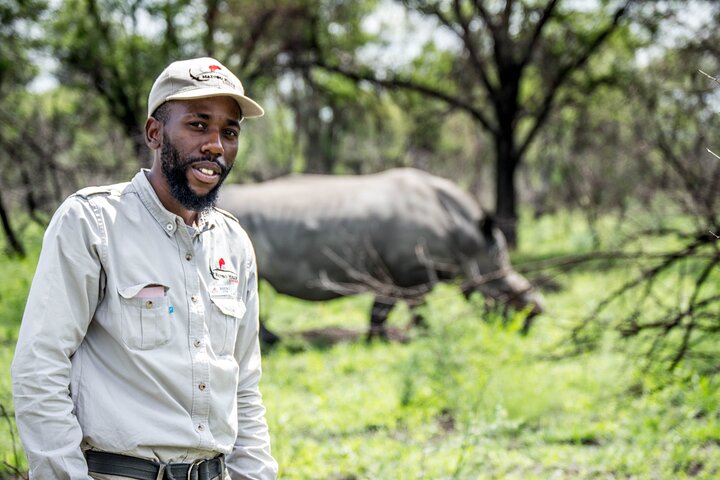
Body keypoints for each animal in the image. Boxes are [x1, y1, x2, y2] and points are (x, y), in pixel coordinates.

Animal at [218, 168, 542, 342]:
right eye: (505, 290)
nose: (533, 318)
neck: (468, 241)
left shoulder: (391, 273)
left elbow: (381, 307)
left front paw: (376, 339)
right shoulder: (411, 272)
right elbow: (414, 307)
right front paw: (424, 336)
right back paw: (272, 342)